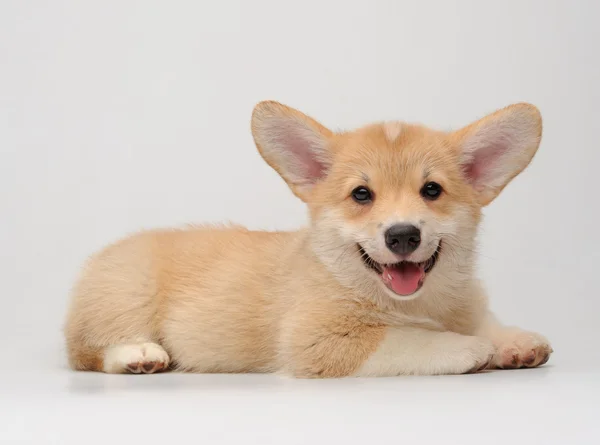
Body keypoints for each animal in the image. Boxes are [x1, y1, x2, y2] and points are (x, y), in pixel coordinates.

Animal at [64, 102, 552, 376]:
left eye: (431, 190)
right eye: (361, 194)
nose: (402, 235)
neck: (417, 302)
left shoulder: (466, 304)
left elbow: (484, 320)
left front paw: (514, 342)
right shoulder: (319, 341)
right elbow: (411, 339)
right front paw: (472, 348)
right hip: (127, 293)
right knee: (83, 350)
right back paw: (138, 354)